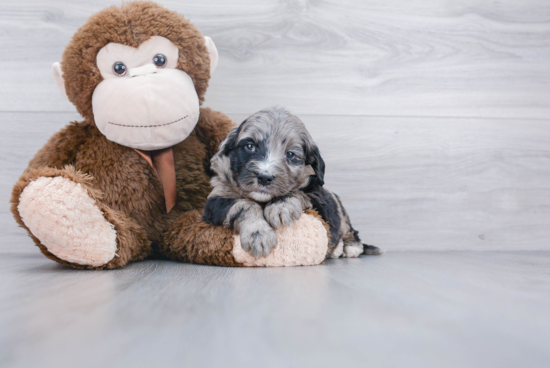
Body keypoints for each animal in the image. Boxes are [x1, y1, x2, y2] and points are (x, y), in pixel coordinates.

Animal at [204, 106, 384, 258]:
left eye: (290, 154)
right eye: (250, 146)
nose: (264, 177)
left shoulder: (319, 199)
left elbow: (299, 192)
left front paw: (281, 206)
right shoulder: (216, 199)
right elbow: (244, 205)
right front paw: (259, 235)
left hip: (341, 213)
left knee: (351, 231)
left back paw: (349, 247)